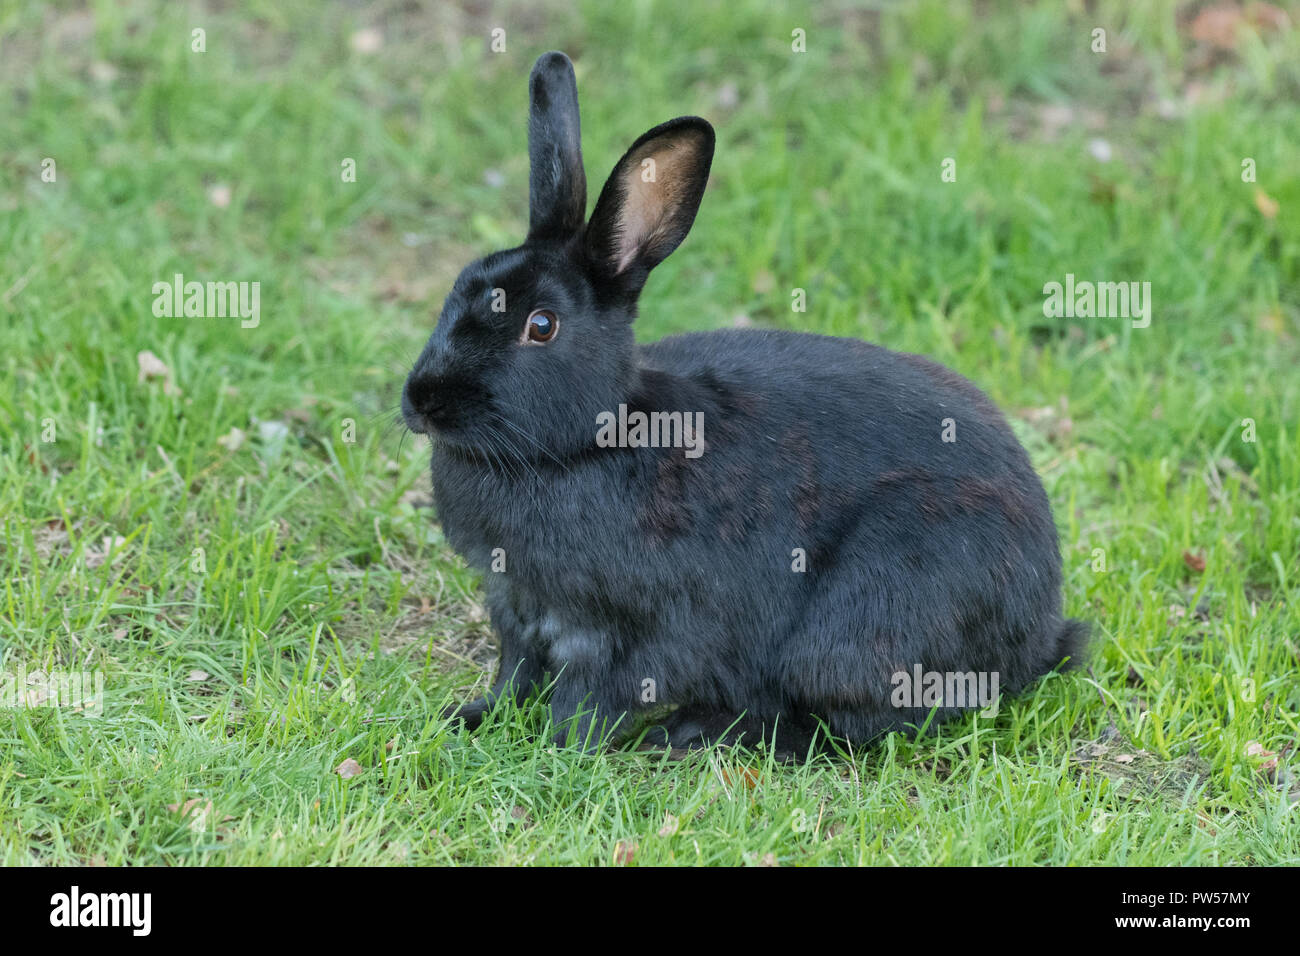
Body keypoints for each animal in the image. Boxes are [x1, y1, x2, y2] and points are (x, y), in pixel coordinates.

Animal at [397, 52, 1086, 759]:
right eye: (459, 287)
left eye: (541, 326)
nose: (423, 402)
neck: (585, 443)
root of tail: (1041, 627)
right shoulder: (518, 612)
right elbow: (514, 677)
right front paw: (470, 718)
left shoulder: (623, 634)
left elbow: (586, 702)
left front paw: (559, 749)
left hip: (864, 622)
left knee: (851, 726)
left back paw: (696, 728)